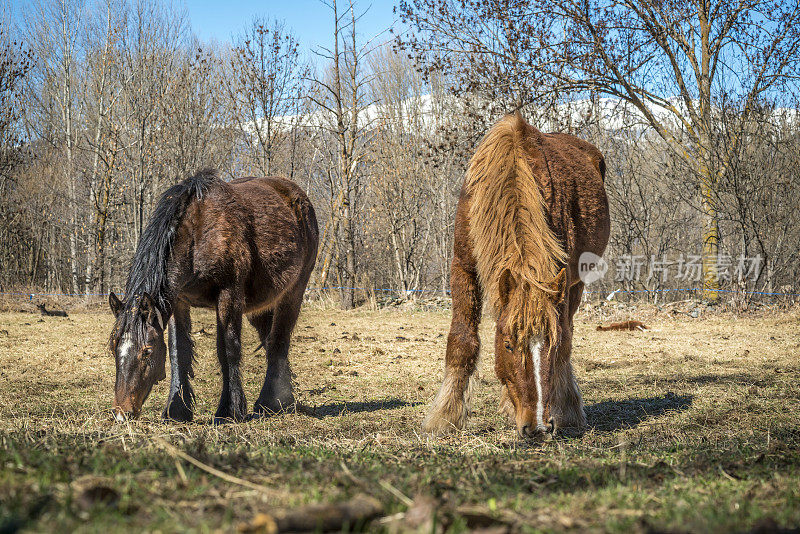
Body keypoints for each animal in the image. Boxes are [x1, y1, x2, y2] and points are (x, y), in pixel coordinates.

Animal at [107, 170, 318, 426]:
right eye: (113, 348)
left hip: (293, 293)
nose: (121, 413)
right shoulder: (179, 301)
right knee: (270, 342)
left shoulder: (229, 295)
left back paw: (270, 403)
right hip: (261, 307)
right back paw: (284, 399)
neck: (197, 234)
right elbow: (179, 352)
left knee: (279, 341)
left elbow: (228, 349)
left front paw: (230, 410)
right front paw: (176, 411)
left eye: (147, 351)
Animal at [424, 113, 608, 440]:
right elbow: (462, 341)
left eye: (550, 346)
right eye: (508, 345)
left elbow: (564, 340)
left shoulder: (559, 279)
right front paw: (444, 416)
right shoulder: (463, 267)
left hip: (575, 283)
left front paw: (565, 412)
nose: (538, 426)